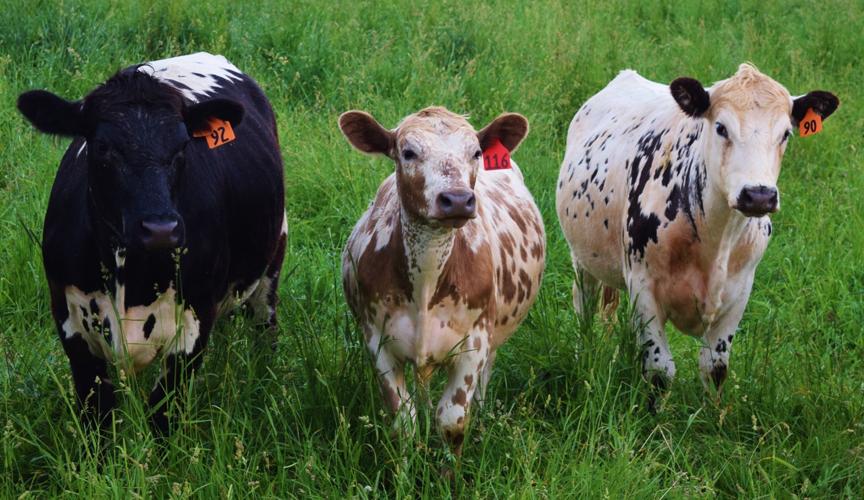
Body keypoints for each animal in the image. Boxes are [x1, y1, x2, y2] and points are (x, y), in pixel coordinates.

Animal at [16, 52, 287, 435]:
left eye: (183, 145)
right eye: (102, 147)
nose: (161, 229)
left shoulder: (195, 322)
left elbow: (163, 414)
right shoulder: (69, 320)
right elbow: (96, 412)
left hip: (272, 260)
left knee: (265, 322)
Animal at [338, 107, 545, 454]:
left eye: (476, 153)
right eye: (408, 152)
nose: (458, 199)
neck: (426, 280)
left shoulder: (475, 344)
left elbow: (451, 422)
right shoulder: (377, 340)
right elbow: (403, 420)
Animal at [556, 64, 838, 405]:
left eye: (785, 133)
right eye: (721, 128)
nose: (758, 195)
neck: (716, 238)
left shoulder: (740, 291)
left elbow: (715, 369)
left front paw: (712, 415)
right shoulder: (644, 287)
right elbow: (659, 370)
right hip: (582, 261)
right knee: (584, 313)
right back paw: (585, 358)